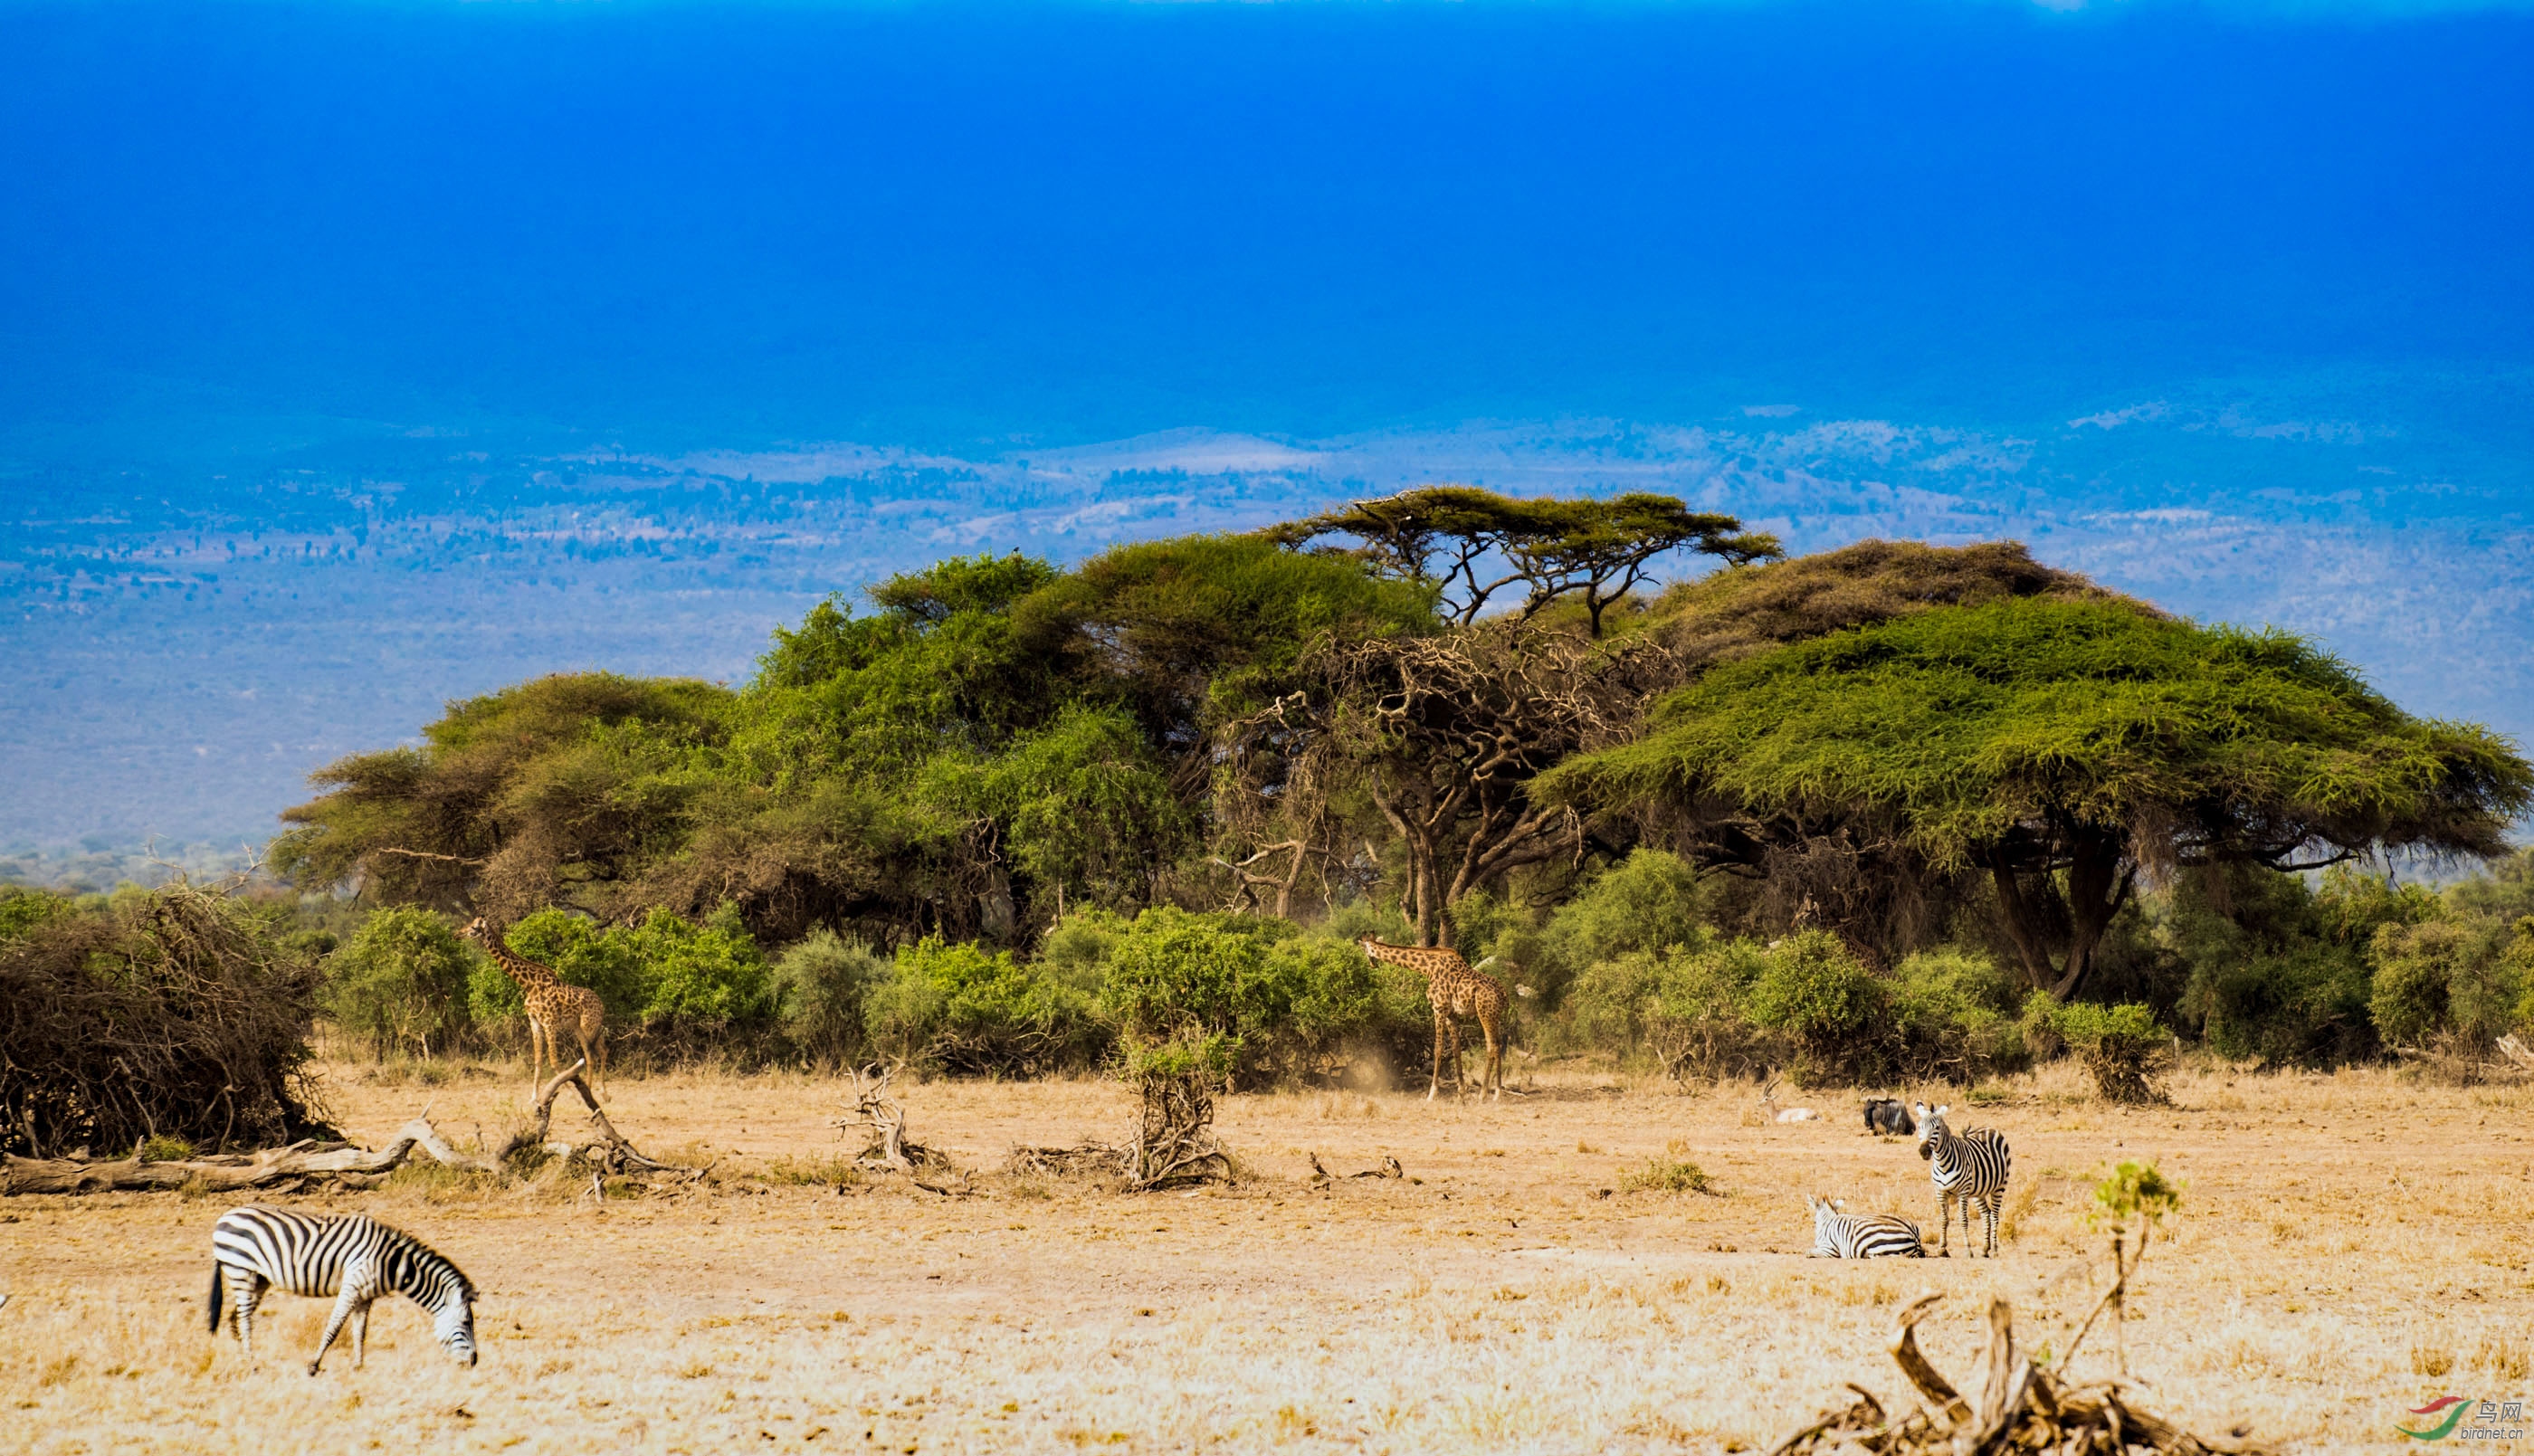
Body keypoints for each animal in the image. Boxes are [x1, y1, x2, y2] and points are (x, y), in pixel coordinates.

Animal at [205, 1204, 476, 1377]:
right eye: (465, 1323)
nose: (474, 1362)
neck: (391, 1263)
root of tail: (224, 1217)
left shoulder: (366, 1296)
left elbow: (360, 1332)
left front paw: (358, 1366)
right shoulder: (352, 1286)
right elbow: (333, 1328)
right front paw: (314, 1366)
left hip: (258, 1278)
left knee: (238, 1316)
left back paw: (244, 1356)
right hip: (241, 1271)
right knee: (244, 1319)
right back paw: (252, 1364)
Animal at [461, 916, 608, 1099]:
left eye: (473, 927)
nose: (458, 934)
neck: (528, 984)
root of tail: (601, 1003)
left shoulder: (549, 1022)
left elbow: (553, 1061)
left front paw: (571, 1096)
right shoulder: (535, 1021)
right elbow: (538, 1060)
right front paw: (534, 1097)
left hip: (589, 1024)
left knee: (598, 1052)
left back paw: (601, 1094)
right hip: (579, 1026)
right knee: (592, 1054)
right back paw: (591, 1090)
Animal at [1368, 941, 1500, 1099]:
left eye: (1364, 949)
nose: (1372, 965)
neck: (1427, 966)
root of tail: (1504, 996)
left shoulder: (1439, 1009)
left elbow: (1438, 1048)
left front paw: (1432, 1093)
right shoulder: (1451, 1014)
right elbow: (1456, 1048)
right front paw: (1461, 1091)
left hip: (1486, 1015)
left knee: (1492, 1047)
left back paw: (1486, 1094)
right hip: (1495, 1017)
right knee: (1497, 1046)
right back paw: (1495, 1092)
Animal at [1905, 1099, 2006, 1261]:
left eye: (1937, 1128)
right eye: (1920, 1127)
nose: (1924, 1152)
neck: (1942, 1162)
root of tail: (1988, 1128)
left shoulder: (1962, 1192)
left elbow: (1963, 1220)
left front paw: (1968, 1250)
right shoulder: (1940, 1191)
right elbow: (1944, 1219)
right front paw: (1942, 1249)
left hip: (1999, 1187)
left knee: (1994, 1216)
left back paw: (1995, 1250)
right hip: (1978, 1191)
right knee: (1986, 1214)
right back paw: (1985, 1249)